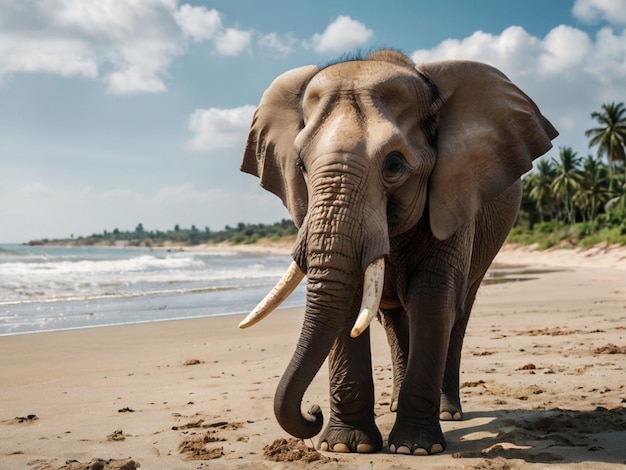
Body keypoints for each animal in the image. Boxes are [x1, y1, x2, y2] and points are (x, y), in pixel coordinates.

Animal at [238, 50, 556, 456]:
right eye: (301, 166)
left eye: (394, 165)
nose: (312, 413)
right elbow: (350, 297)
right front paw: (347, 447)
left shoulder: (453, 193)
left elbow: (432, 296)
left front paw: (414, 449)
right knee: (393, 318)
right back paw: (393, 406)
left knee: (457, 311)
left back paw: (448, 413)